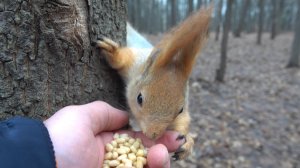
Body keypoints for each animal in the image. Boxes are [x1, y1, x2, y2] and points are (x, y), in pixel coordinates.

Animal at [96, 8, 211, 160]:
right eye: (139, 98)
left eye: (180, 110)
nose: (153, 135)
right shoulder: (134, 63)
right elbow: (123, 59)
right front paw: (113, 52)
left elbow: (183, 121)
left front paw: (187, 142)